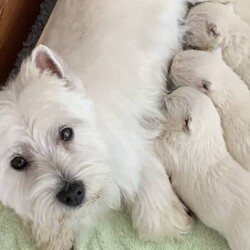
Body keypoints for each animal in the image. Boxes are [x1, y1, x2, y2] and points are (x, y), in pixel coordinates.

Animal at [0, 0, 195, 250]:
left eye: (66, 133)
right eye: (18, 162)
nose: (72, 193)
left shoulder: (131, 140)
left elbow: (148, 174)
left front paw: (166, 221)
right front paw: (52, 234)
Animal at [157, 86, 250, 250]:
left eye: (167, 105)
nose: (164, 96)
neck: (203, 137)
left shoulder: (173, 151)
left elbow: (158, 147)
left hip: (241, 239)